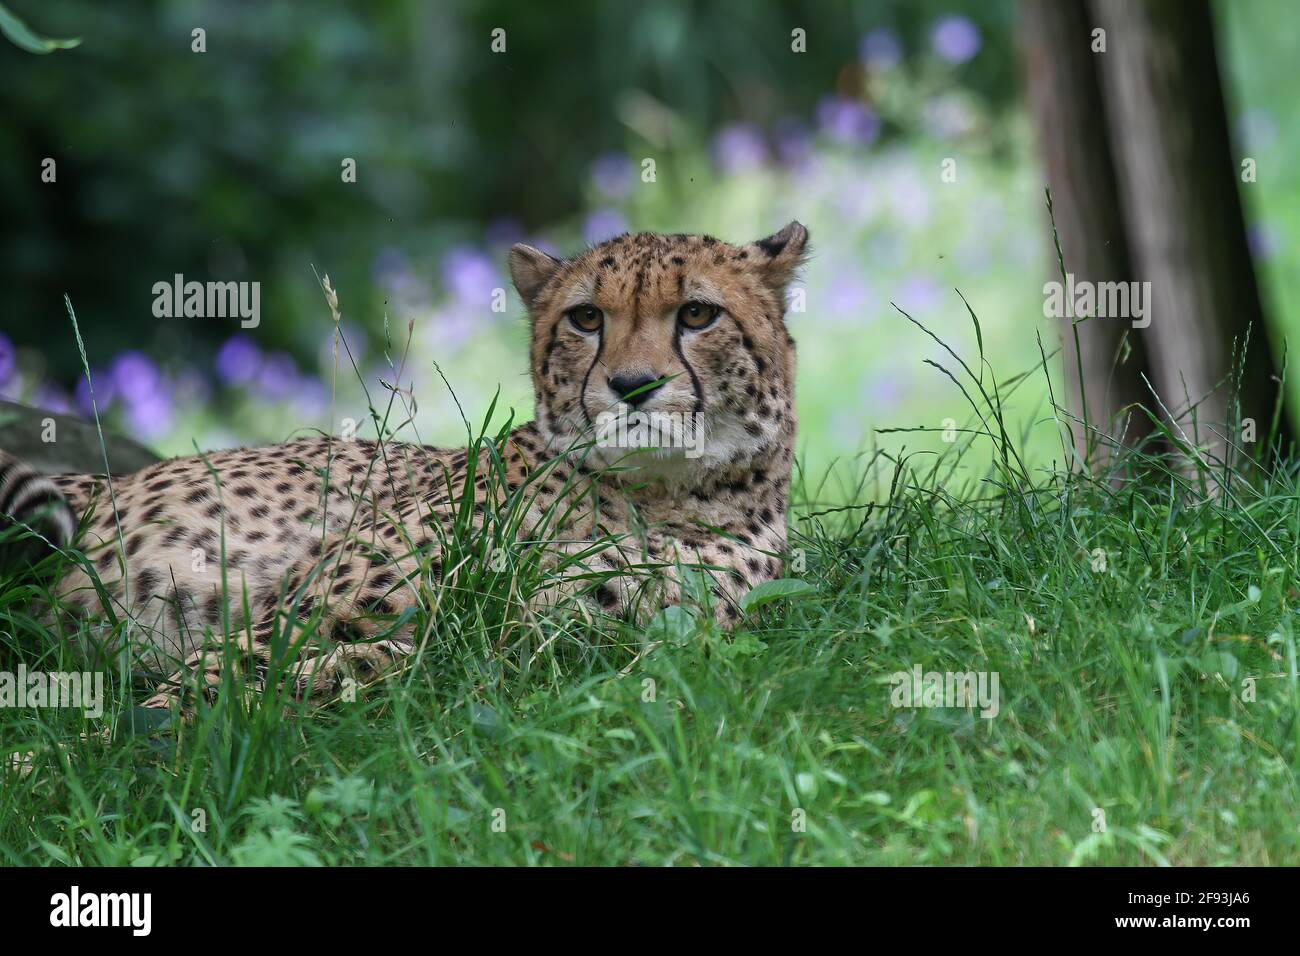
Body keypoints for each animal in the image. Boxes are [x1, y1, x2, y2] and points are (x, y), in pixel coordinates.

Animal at [0, 222, 808, 715]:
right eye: (586, 319)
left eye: (697, 314)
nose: (632, 386)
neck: (651, 494)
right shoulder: (313, 601)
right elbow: (230, 666)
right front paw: (114, 745)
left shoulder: (564, 641)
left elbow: (369, 665)